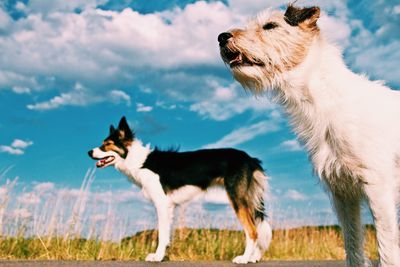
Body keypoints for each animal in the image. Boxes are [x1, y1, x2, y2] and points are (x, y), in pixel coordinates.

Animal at [87, 117, 272, 264]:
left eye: (107, 145)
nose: (89, 152)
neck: (138, 160)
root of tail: (249, 158)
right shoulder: (169, 206)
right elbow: (166, 234)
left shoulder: (162, 204)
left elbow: (162, 234)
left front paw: (157, 257)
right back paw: (253, 258)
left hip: (237, 199)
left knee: (253, 231)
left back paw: (244, 258)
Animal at [219, 4, 400, 267]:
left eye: (270, 25)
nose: (221, 37)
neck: (324, 97)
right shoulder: (342, 192)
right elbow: (352, 242)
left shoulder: (378, 187)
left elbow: (386, 245)